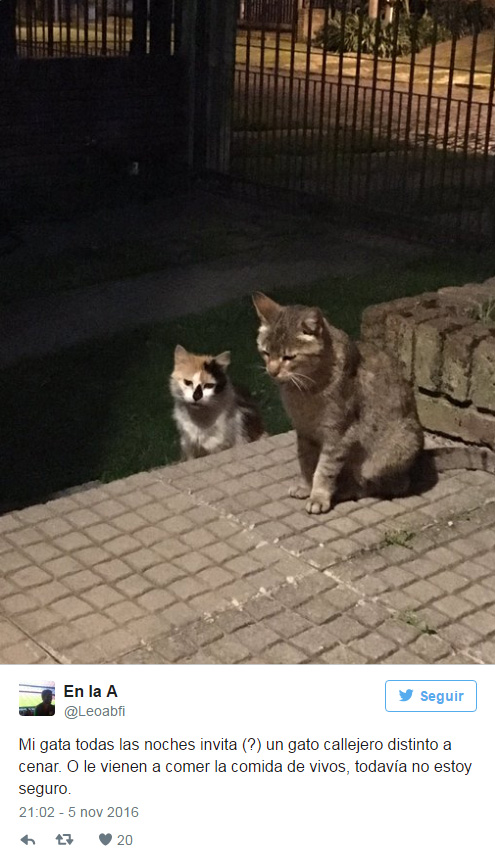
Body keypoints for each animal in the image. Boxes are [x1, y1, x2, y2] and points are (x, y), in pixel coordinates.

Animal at [254, 292, 495, 512]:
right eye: (266, 353)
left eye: (289, 357)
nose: (272, 371)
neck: (303, 390)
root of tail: (418, 460)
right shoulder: (305, 432)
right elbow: (306, 463)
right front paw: (306, 487)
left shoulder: (339, 433)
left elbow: (324, 470)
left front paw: (319, 496)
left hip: (383, 457)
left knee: (392, 485)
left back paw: (346, 489)